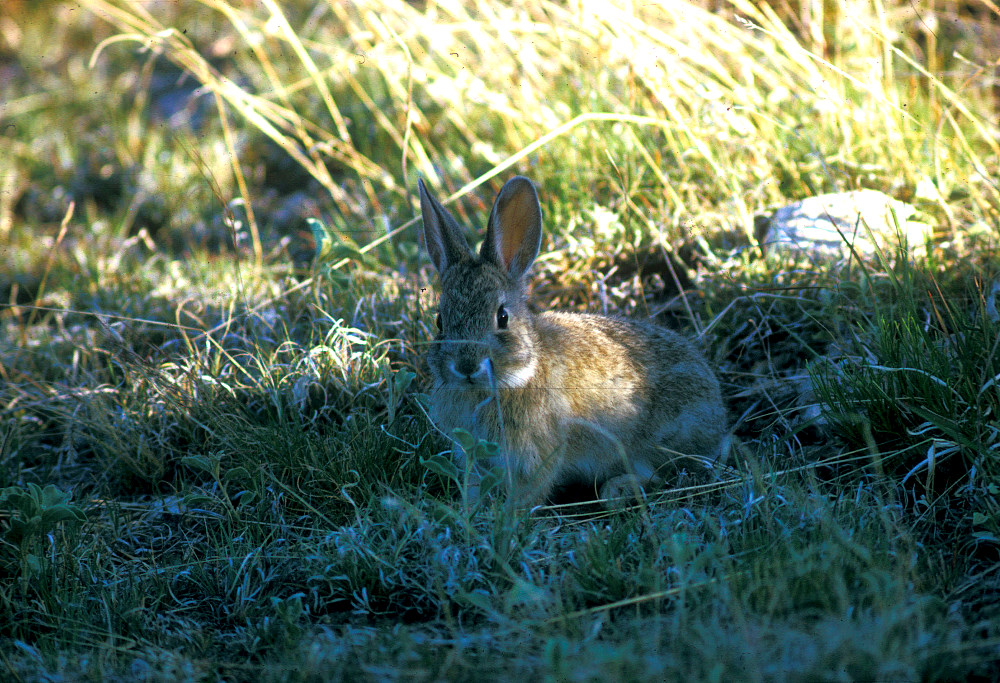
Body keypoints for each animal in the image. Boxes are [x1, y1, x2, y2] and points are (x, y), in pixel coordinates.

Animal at [416, 176, 728, 508]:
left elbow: (528, 492)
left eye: (502, 317)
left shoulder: (536, 456)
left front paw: (509, 515)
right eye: (440, 321)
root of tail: (718, 412)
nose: (466, 366)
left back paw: (616, 490)